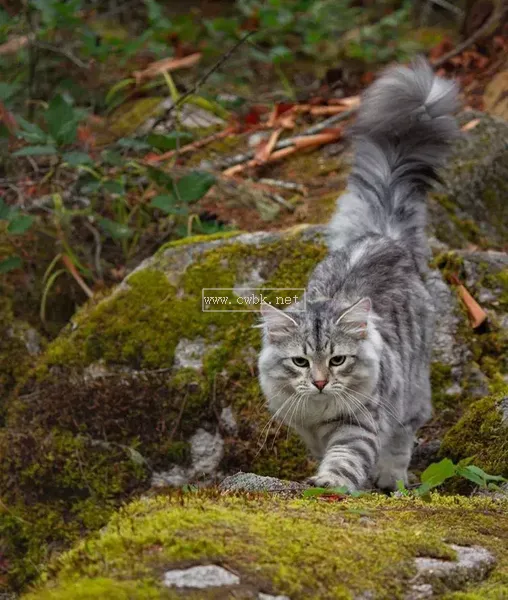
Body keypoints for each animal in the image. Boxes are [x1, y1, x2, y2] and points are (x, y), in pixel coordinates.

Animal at [256, 56, 458, 490]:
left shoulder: (359, 421)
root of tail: (381, 235)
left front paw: (331, 482)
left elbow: (346, 456)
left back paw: (390, 478)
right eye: (300, 362)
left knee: (402, 437)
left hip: (411, 392)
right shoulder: (307, 429)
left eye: (337, 361)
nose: (319, 382)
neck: (319, 415)